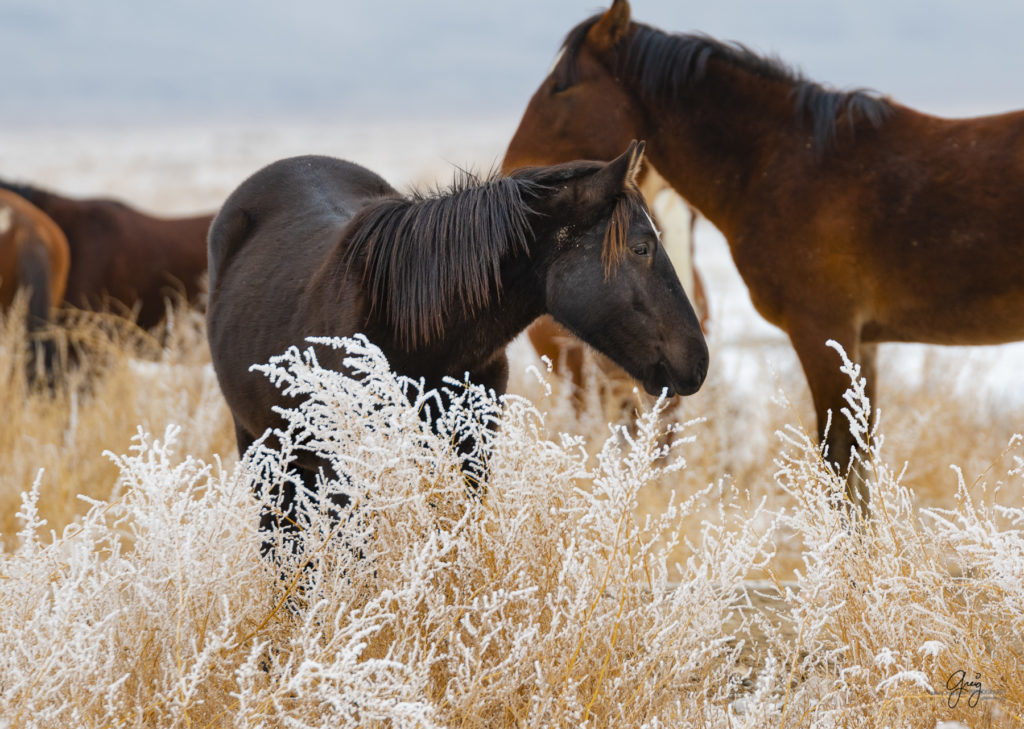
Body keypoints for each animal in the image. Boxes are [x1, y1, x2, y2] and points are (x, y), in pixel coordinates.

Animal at [203, 143, 708, 548]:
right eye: (641, 247)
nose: (697, 361)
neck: (416, 331)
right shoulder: (348, 471)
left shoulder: (470, 454)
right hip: (264, 452)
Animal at [501, 0, 1024, 516]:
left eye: (562, 86)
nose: (514, 177)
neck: (784, 165)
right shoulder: (863, 344)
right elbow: (858, 463)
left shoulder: (824, 331)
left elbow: (840, 462)